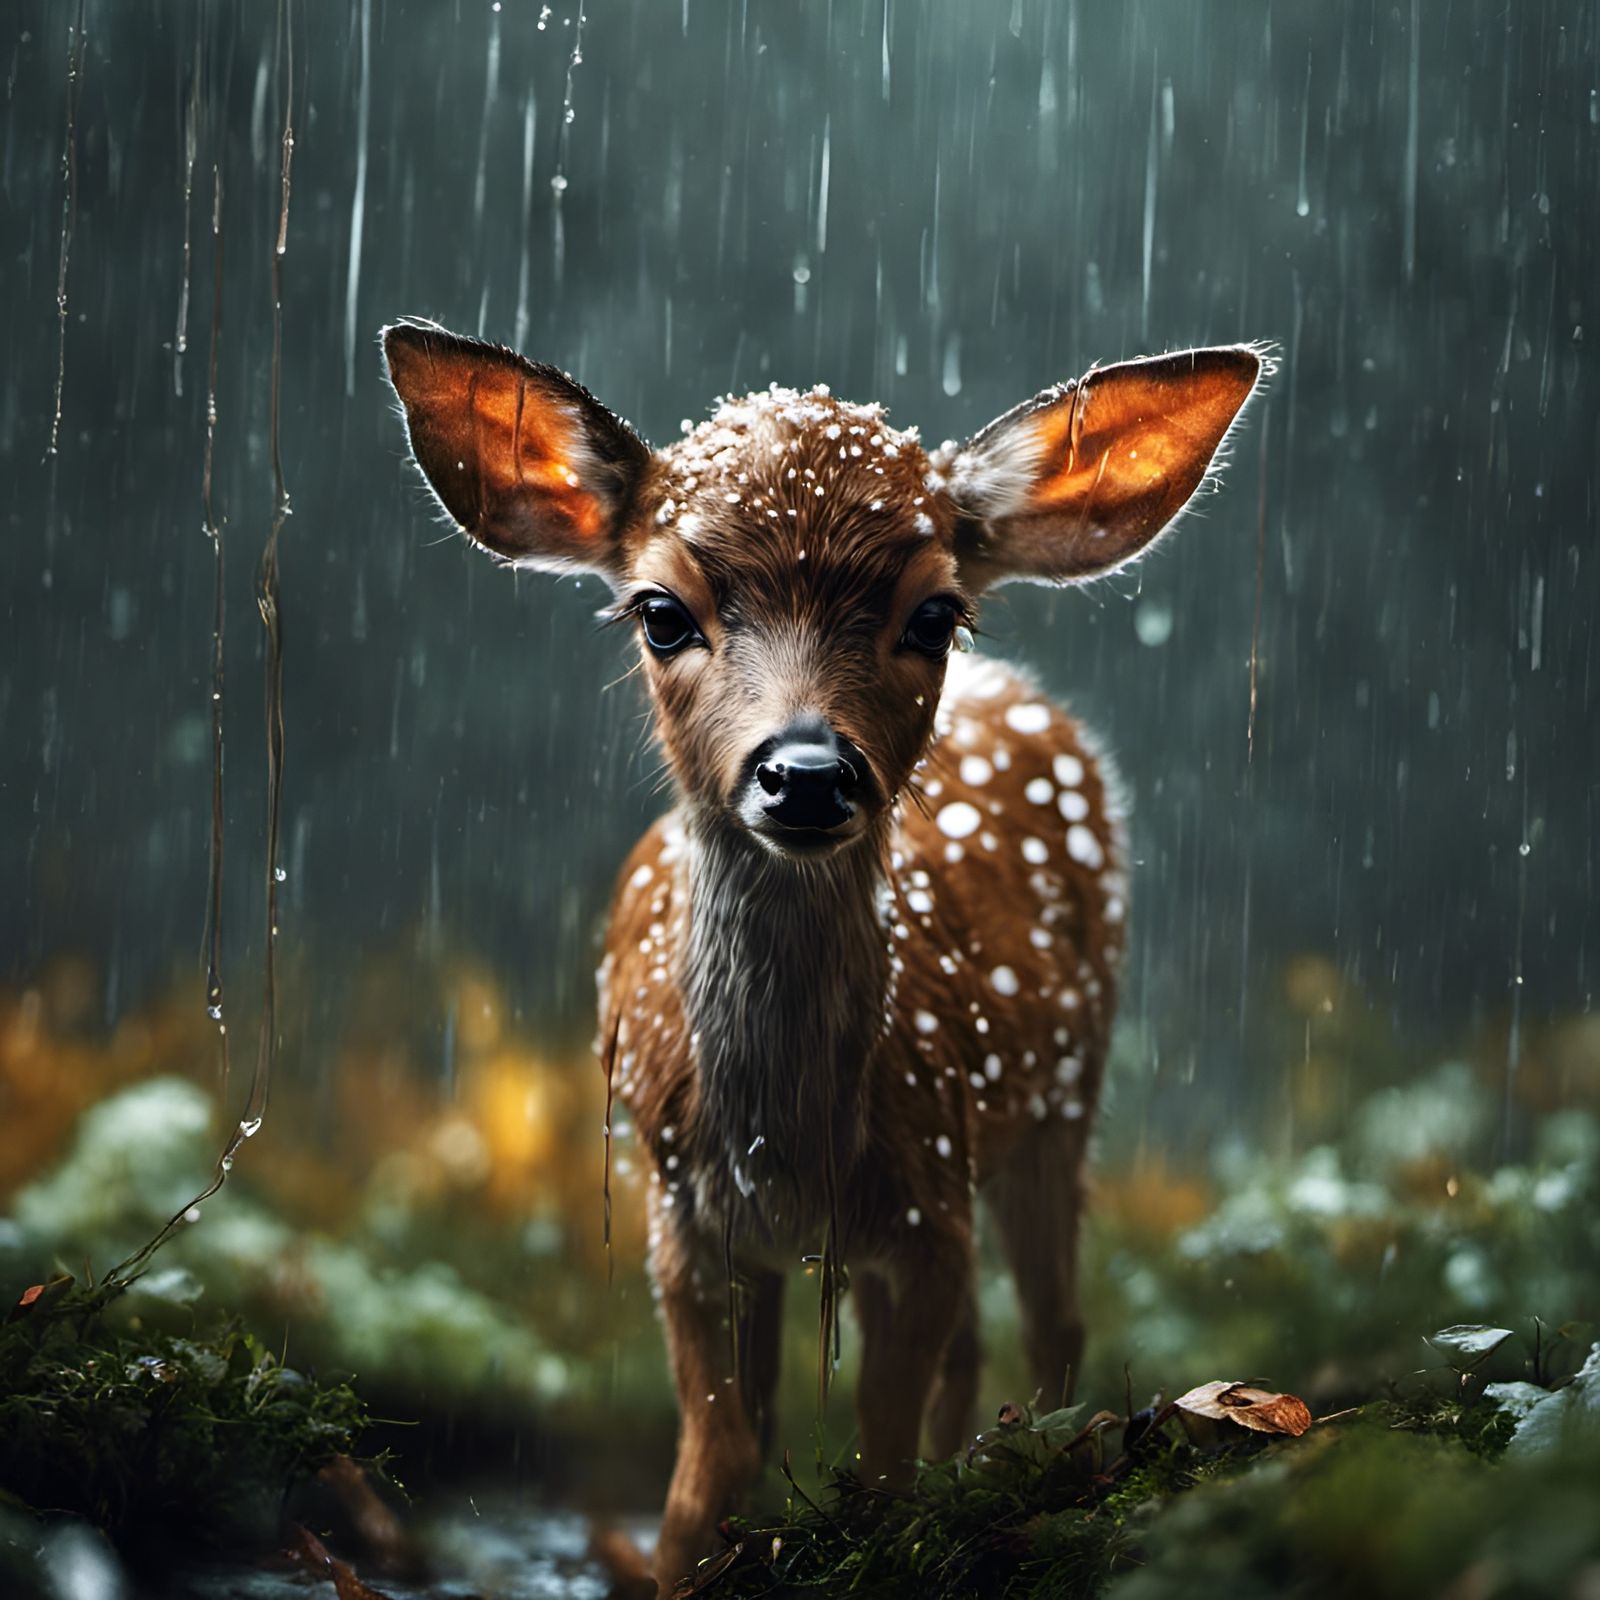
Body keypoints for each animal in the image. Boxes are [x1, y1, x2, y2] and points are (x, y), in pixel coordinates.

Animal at [382, 320, 1263, 1593]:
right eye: (661, 611)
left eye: (932, 614)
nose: (804, 772)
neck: (789, 1154)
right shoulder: (682, 1218)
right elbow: (715, 1460)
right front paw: (686, 1560)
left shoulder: (927, 1202)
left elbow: (876, 1455)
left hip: (1061, 1095)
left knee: (1052, 1322)